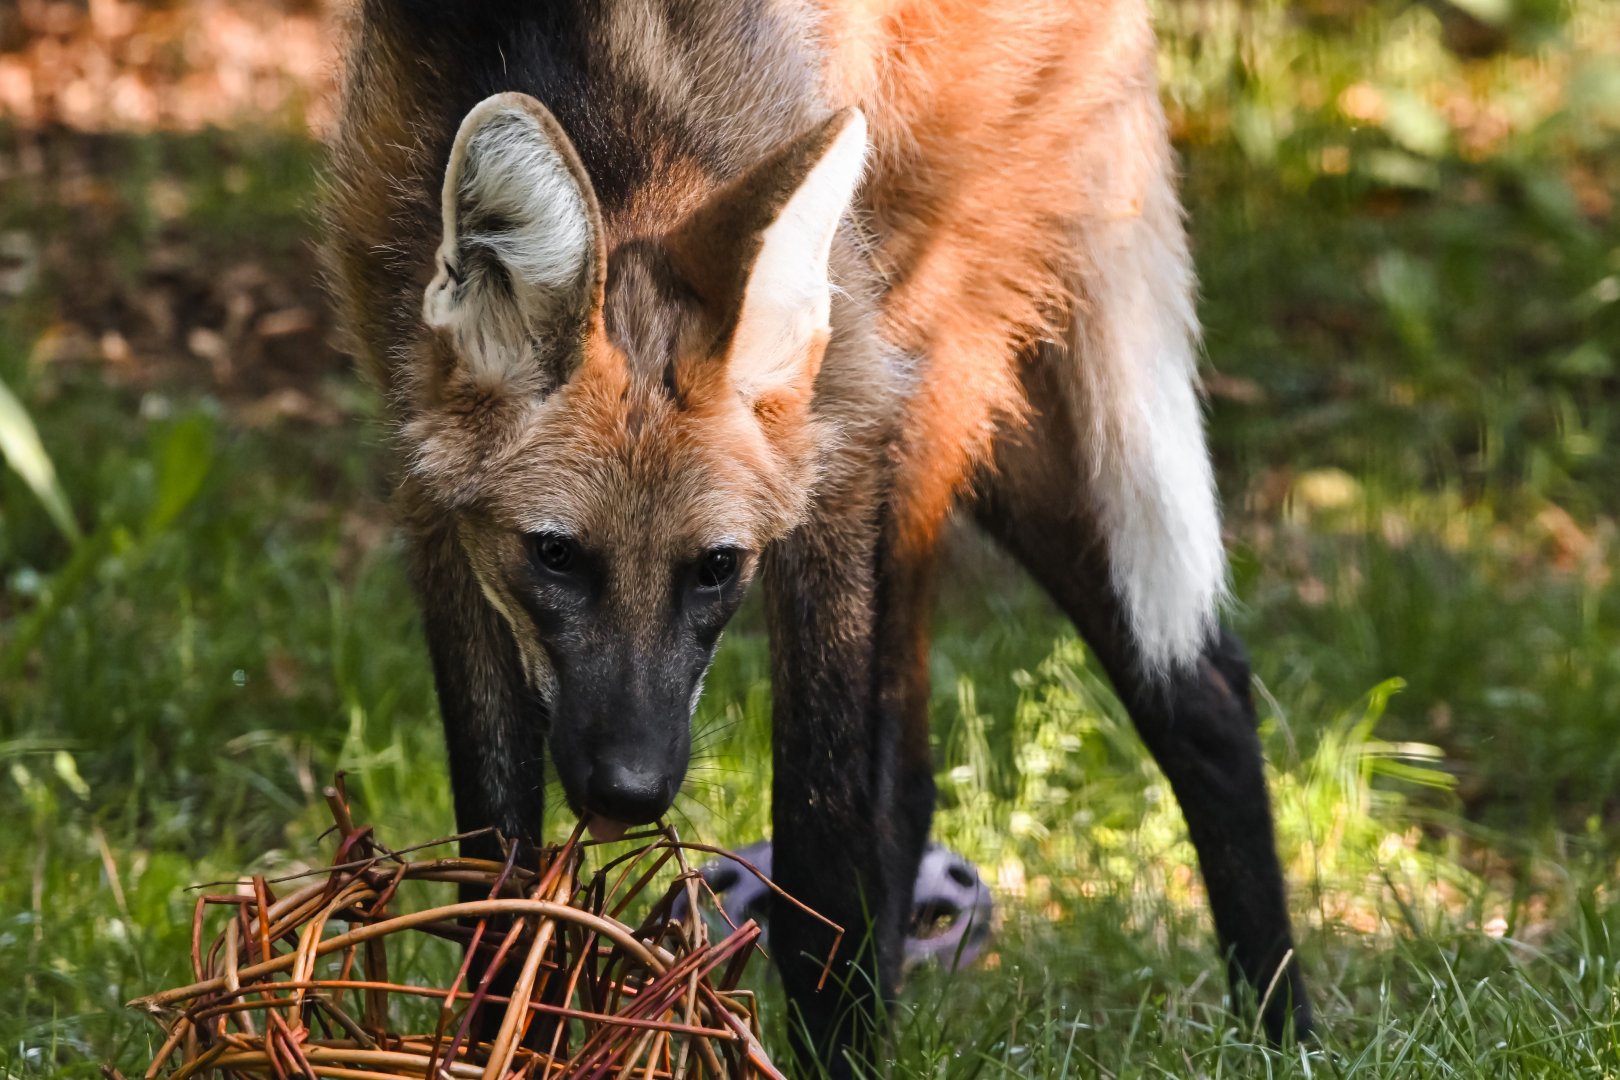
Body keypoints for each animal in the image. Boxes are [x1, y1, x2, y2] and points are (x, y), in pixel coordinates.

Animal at [324, 0, 1312, 1070]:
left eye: (716, 568)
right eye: (555, 555)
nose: (629, 792)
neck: (579, 68)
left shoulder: (836, 464)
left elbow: (822, 858)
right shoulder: (433, 502)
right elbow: (495, 887)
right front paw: (500, 1038)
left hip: (918, 375)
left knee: (911, 773)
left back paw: (1282, 1030)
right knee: (1197, 690)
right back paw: (1279, 1034)